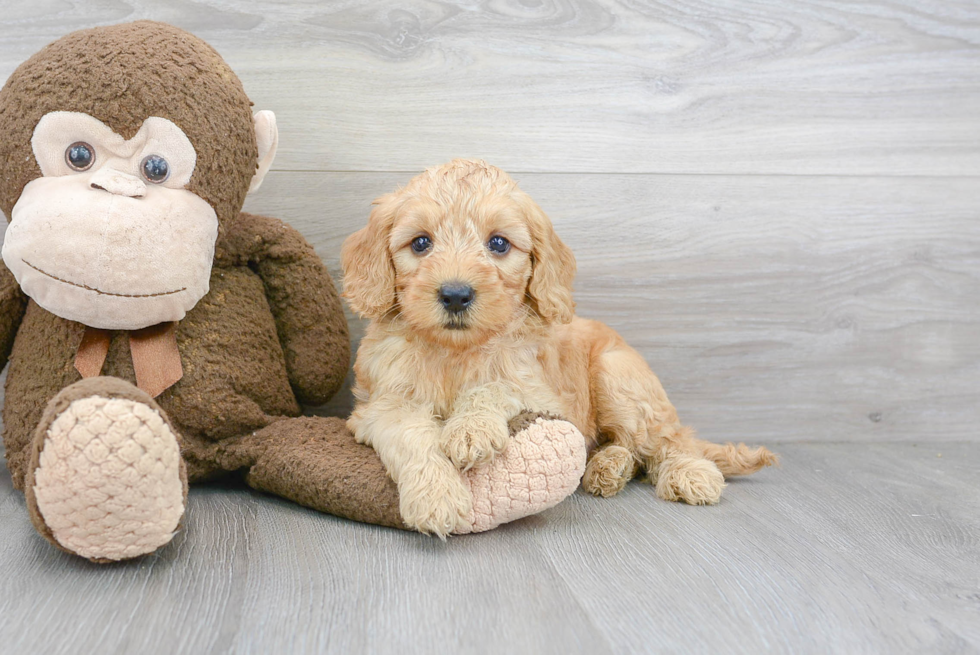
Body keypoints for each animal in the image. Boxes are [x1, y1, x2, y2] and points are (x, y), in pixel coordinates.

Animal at [340, 160, 776, 540]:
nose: (455, 295)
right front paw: (436, 496)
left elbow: (495, 386)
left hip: (619, 376)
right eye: (421, 243)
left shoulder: (540, 391)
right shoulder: (380, 405)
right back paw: (609, 467)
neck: (457, 351)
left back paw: (686, 472)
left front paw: (471, 428)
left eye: (498, 243)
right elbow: (412, 435)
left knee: (666, 440)